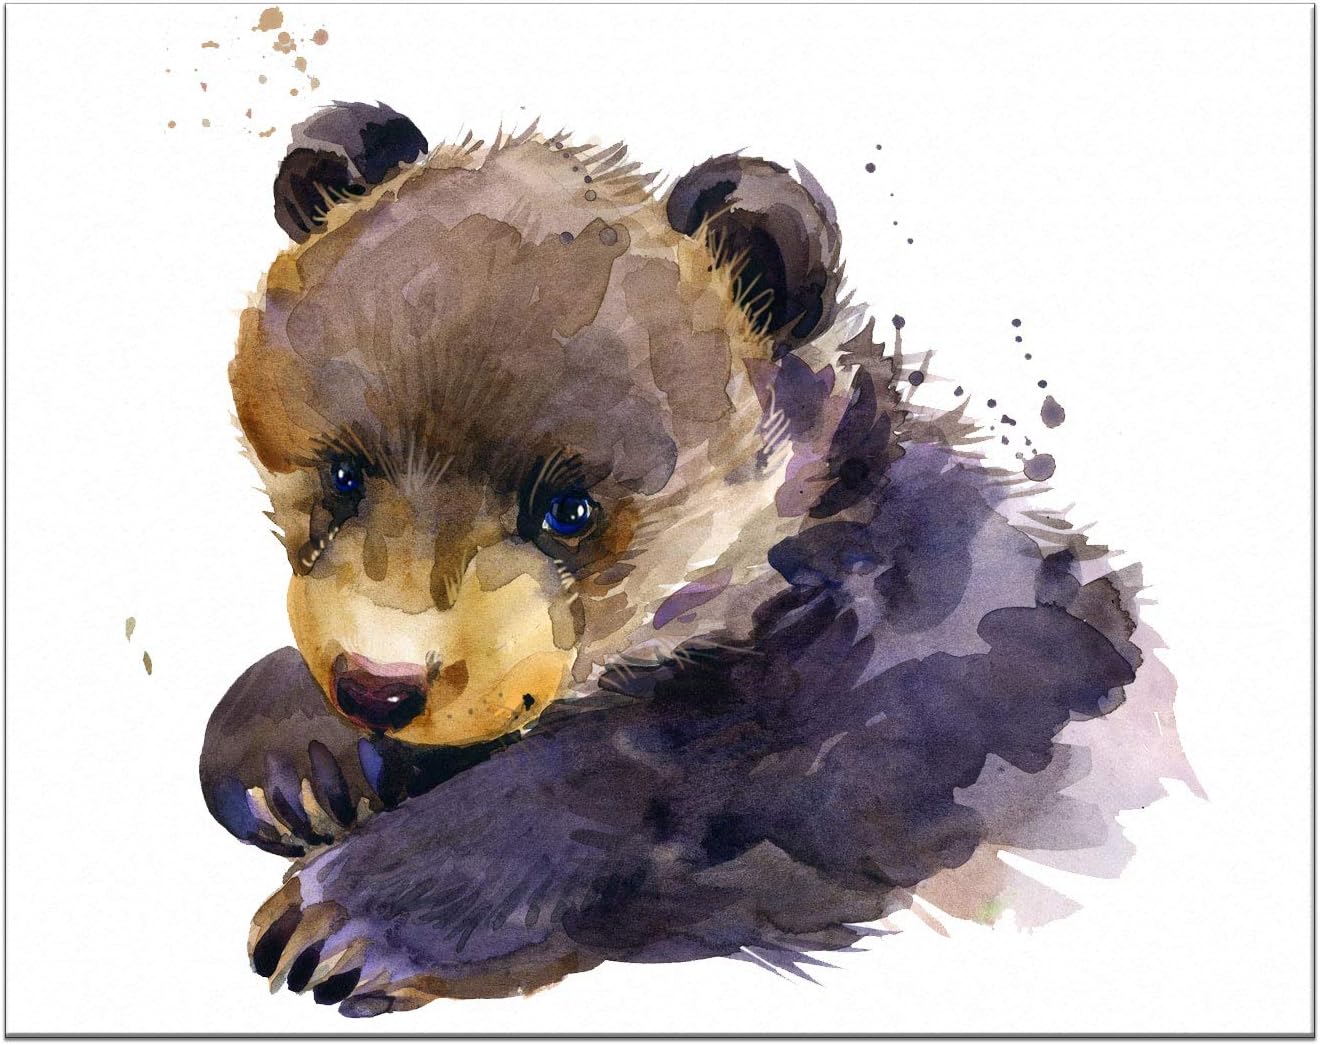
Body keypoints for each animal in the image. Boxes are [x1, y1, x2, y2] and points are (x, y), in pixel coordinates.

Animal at [201, 101, 1190, 1017]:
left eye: (569, 507)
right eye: (343, 471)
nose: (383, 683)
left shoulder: (908, 681)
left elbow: (664, 793)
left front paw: (341, 913)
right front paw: (293, 759)